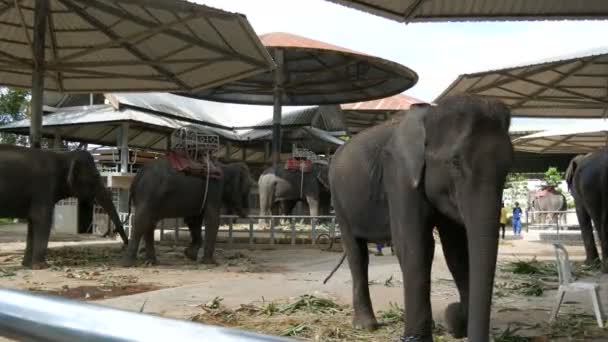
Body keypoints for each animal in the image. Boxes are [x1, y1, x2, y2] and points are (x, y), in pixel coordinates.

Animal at [122, 158, 253, 268]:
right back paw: (130, 263)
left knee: (149, 223)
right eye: (247, 188)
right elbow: (212, 219)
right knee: (141, 222)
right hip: (148, 194)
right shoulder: (214, 189)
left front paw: (190, 255)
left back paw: (152, 262)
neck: (226, 166)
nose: (246, 215)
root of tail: (137, 176)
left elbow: (193, 220)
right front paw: (211, 263)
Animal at [328, 94, 512, 342]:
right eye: (455, 162)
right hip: (339, 200)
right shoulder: (399, 173)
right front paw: (417, 338)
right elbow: (415, 243)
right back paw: (366, 326)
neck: (431, 114)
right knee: (356, 253)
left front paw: (455, 322)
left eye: (509, 166)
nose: (454, 314)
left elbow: (457, 250)